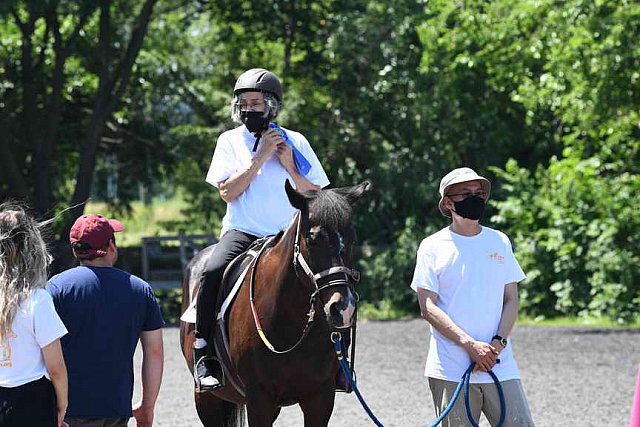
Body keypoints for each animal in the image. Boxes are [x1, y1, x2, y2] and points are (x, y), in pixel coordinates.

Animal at [180, 181, 370, 427]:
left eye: (353, 238)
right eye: (312, 238)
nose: (343, 308)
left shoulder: (320, 398)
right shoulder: (258, 399)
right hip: (207, 399)